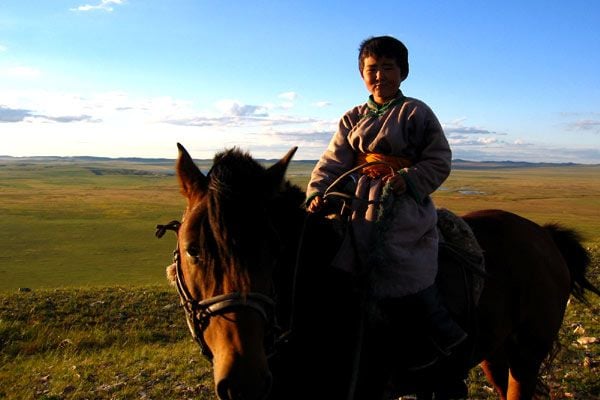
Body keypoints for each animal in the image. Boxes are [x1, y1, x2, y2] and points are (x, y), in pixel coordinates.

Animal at [158, 144, 600, 400]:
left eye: (276, 249)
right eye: (193, 249)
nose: (245, 380)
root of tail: (543, 234)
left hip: (528, 353)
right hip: (495, 353)